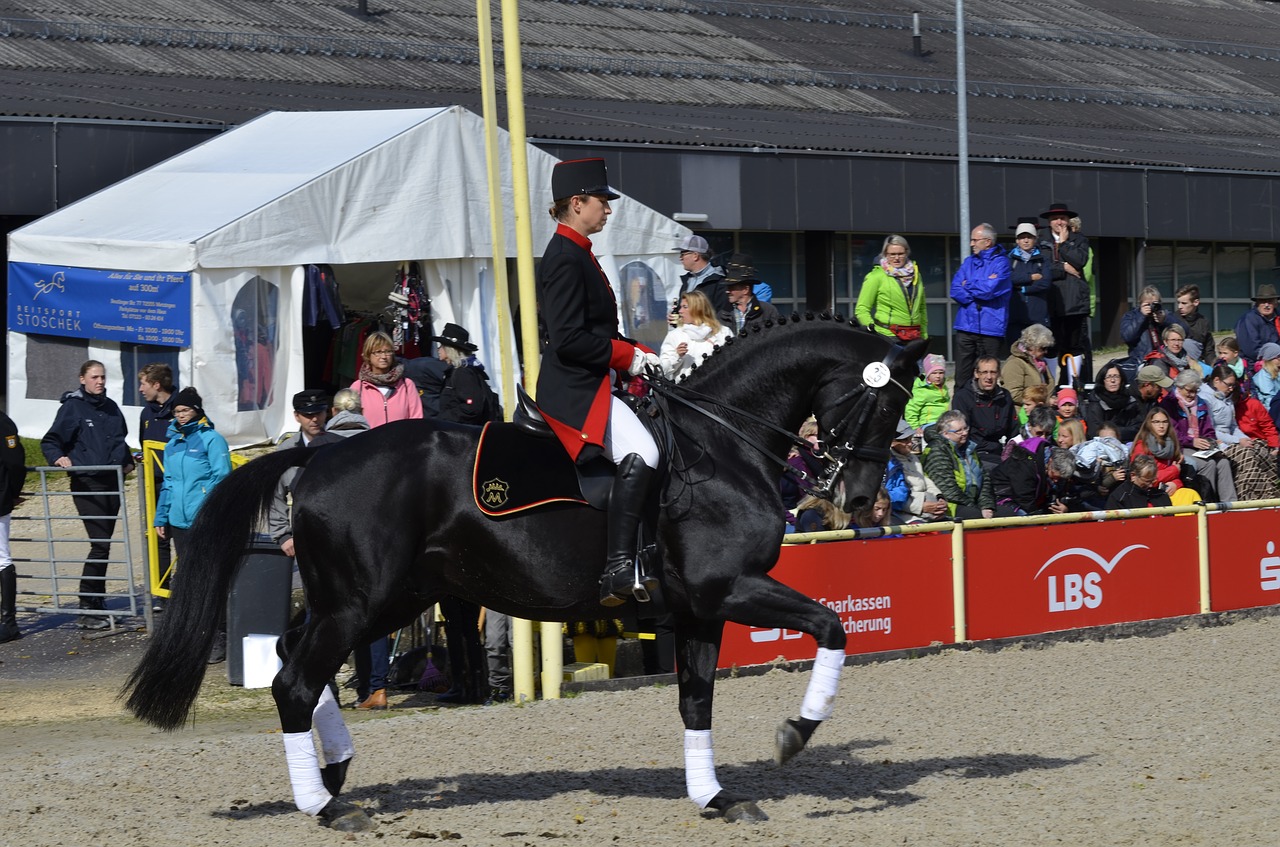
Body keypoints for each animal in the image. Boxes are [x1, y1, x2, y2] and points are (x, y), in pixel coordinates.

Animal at [120, 314, 926, 834]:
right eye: (881, 400)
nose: (861, 499)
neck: (719, 442)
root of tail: (317, 457)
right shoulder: (727, 590)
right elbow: (832, 625)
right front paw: (795, 733)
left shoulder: (699, 609)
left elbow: (696, 703)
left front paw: (715, 798)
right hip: (362, 603)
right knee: (292, 678)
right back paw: (323, 804)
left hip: (379, 599)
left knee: (293, 658)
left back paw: (334, 772)